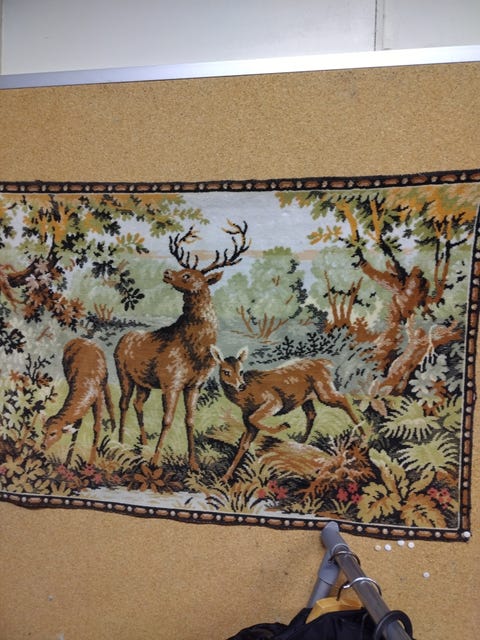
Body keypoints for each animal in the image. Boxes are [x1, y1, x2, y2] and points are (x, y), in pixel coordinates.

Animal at [41, 337, 116, 465]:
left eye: (53, 433)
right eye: (43, 431)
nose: (43, 445)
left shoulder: (99, 395)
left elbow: (97, 427)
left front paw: (90, 463)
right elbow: (77, 428)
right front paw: (67, 462)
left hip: (105, 381)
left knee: (110, 401)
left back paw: (114, 430)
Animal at [113, 220, 250, 471]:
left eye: (187, 275)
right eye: (182, 271)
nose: (167, 272)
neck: (195, 351)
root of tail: (122, 339)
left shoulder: (195, 385)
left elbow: (189, 420)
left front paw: (193, 464)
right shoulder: (171, 381)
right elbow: (167, 420)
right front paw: (155, 462)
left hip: (144, 383)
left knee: (138, 404)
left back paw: (143, 444)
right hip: (123, 373)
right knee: (123, 403)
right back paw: (120, 444)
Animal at [210, 345, 362, 481]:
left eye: (241, 371)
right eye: (226, 372)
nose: (241, 385)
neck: (246, 399)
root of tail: (323, 362)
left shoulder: (274, 400)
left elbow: (255, 419)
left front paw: (283, 427)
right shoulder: (247, 421)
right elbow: (243, 445)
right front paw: (225, 477)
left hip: (323, 390)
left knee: (343, 399)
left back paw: (362, 431)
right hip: (307, 398)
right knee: (312, 414)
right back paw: (302, 441)